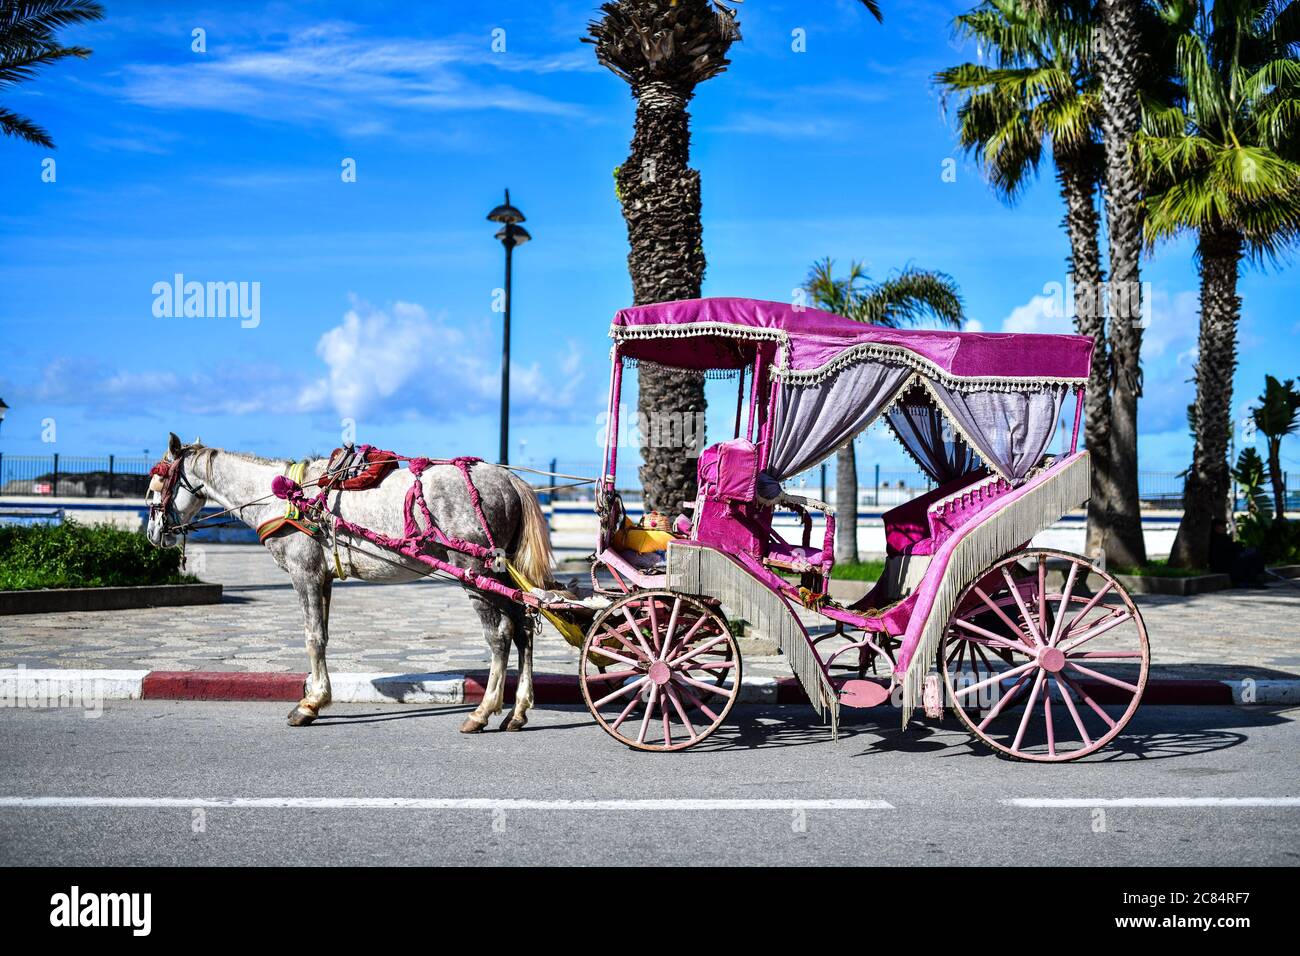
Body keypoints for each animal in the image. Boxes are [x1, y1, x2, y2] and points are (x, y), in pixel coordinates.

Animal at [146, 434, 553, 733]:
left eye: (154, 489)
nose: (152, 535)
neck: (285, 497)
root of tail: (509, 479)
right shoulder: (322, 576)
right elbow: (323, 636)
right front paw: (317, 695)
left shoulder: (304, 572)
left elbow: (312, 636)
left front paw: (309, 704)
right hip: (502, 572)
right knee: (523, 629)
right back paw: (517, 712)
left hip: (474, 570)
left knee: (499, 635)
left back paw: (482, 712)